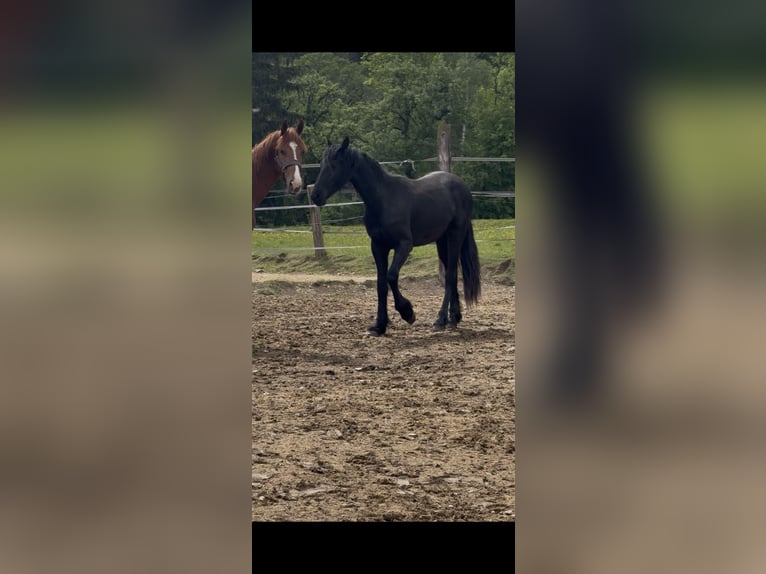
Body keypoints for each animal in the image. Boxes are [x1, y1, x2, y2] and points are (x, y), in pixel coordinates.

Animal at [311, 137, 481, 336]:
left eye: (335, 164)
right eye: (322, 164)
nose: (315, 195)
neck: (383, 199)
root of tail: (462, 187)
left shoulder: (404, 245)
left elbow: (391, 276)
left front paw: (408, 312)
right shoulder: (378, 247)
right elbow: (381, 285)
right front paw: (379, 326)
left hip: (455, 235)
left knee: (451, 274)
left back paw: (440, 320)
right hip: (442, 241)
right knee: (451, 275)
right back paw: (453, 318)